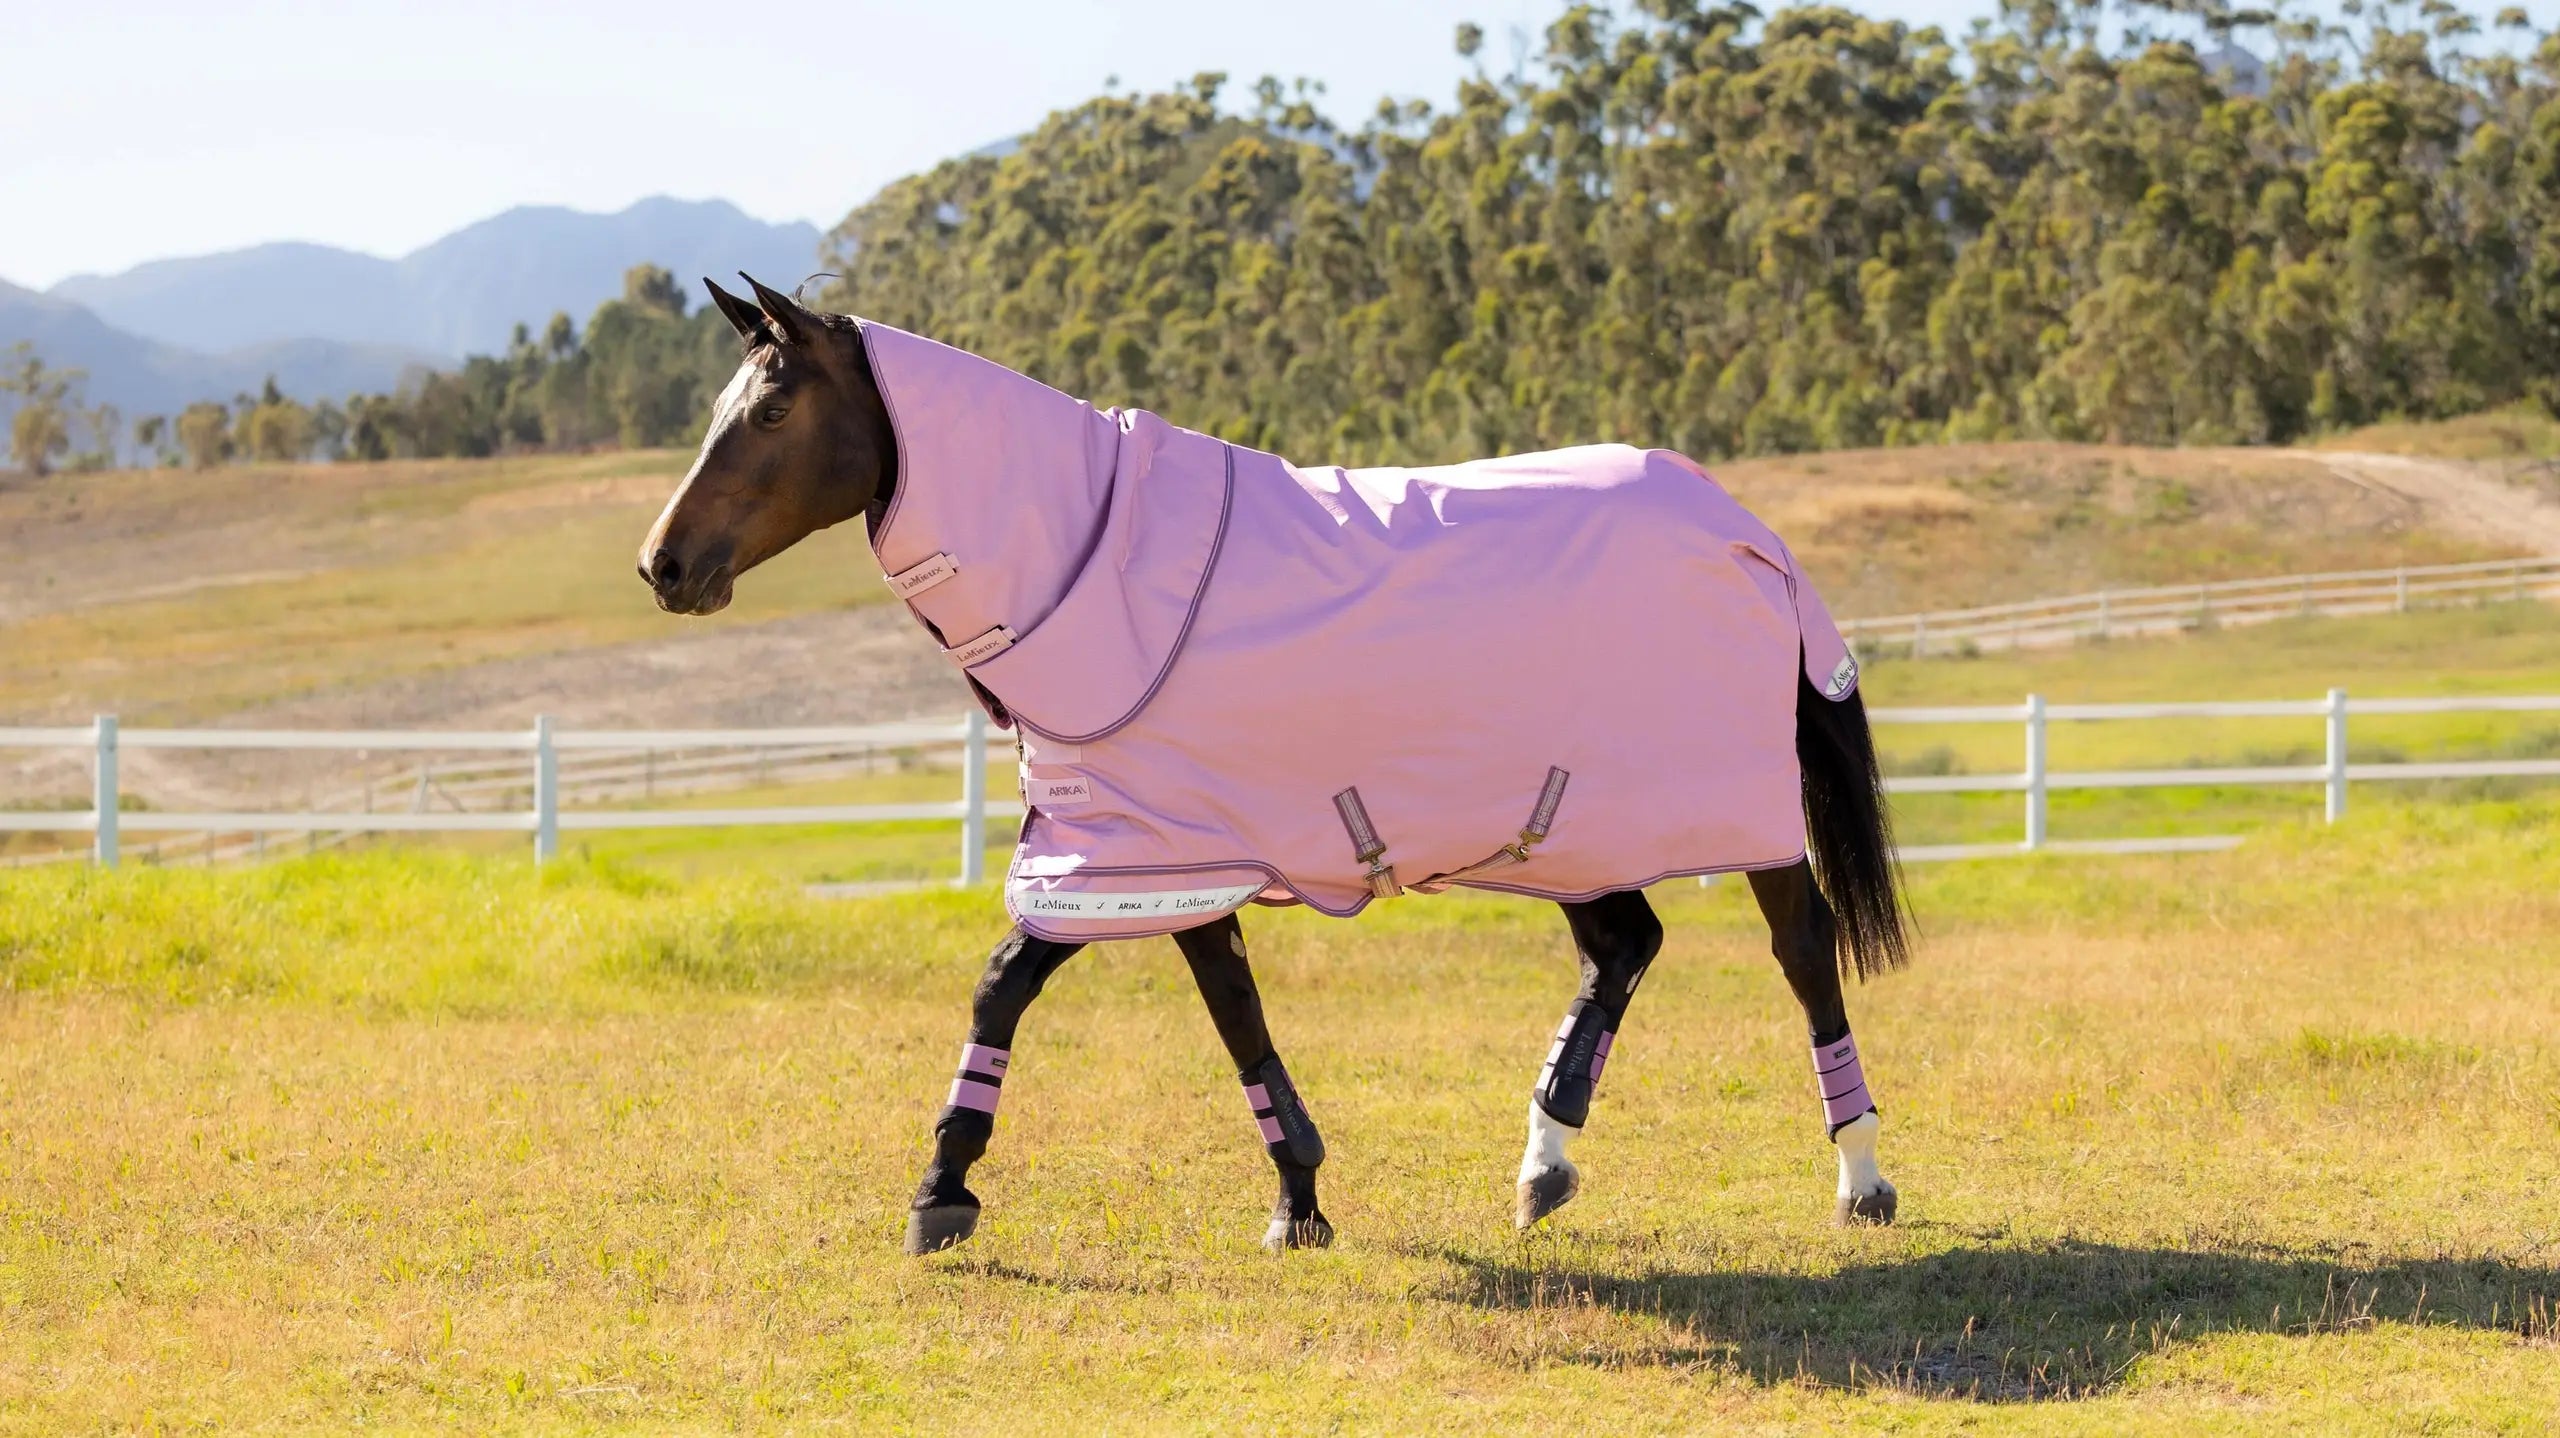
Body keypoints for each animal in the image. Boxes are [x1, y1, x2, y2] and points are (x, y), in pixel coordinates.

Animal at [640, 274, 1910, 1256]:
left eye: (771, 409)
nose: (663, 563)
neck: (1097, 563)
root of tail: (1745, 532)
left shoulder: (1143, 852)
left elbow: (1017, 982)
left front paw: (944, 1186)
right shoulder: (1162, 852)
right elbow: (1224, 1010)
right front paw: (1297, 1194)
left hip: (1739, 821)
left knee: (1804, 957)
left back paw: (1860, 1177)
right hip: (1563, 827)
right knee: (1623, 947)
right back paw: (1543, 1160)